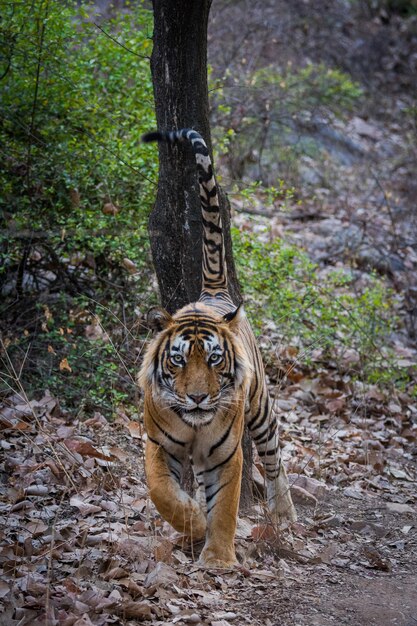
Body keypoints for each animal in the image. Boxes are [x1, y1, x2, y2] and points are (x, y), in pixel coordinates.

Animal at [138, 128, 294, 564]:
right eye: (177, 360)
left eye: (213, 359)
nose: (196, 398)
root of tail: (213, 293)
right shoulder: (159, 444)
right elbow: (163, 492)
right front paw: (191, 521)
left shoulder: (226, 455)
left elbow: (225, 505)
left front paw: (219, 559)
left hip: (260, 409)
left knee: (274, 458)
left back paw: (285, 514)